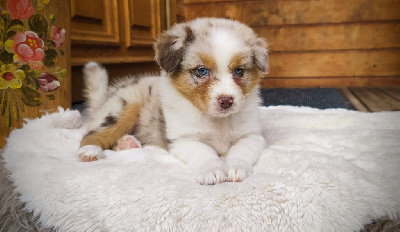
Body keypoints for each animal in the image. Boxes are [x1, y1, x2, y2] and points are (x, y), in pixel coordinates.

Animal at [77, 17, 268, 185]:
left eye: (239, 71)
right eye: (202, 71)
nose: (227, 101)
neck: (216, 120)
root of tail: (106, 96)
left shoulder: (252, 135)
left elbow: (241, 150)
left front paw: (236, 169)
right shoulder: (184, 139)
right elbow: (203, 152)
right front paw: (212, 171)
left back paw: (127, 143)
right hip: (123, 107)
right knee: (92, 134)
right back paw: (90, 151)